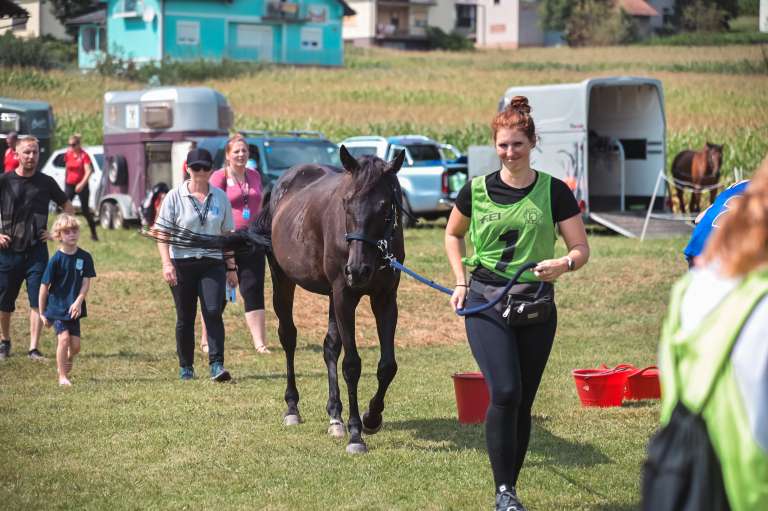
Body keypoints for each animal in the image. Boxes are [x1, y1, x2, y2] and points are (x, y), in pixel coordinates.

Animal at [260, 146, 404, 454]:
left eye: (385, 207)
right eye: (346, 203)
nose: (357, 270)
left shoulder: (385, 299)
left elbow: (387, 365)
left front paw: (372, 417)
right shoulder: (344, 296)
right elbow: (352, 365)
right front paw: (356, 434)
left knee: (330, 347)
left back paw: (335, 415)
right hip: (283, 280)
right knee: (288, 337)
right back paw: (292, 408)